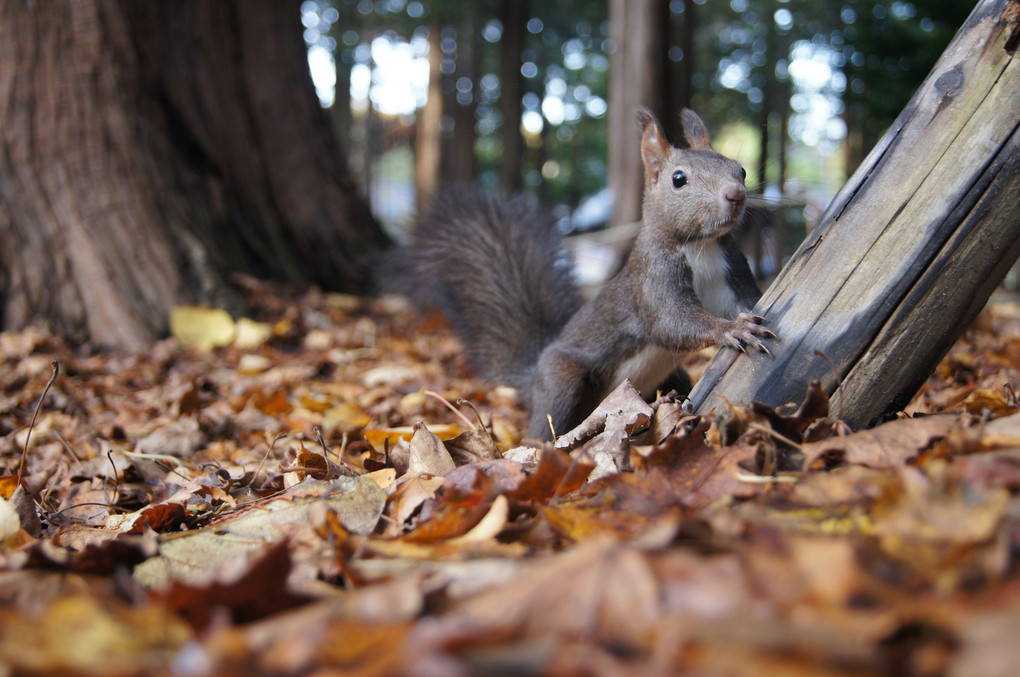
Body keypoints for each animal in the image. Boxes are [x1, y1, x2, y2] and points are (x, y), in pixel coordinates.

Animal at [399, 108, 771, 442]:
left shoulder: (731, 272)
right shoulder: (652, 275)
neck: (702, 249)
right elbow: (671, 322)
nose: (736, 195)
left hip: (671, 378)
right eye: (678, 179)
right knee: (543, 428)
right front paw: (729, 329)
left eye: (740, 169)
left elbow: (748, 301)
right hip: (563, 381)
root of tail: (533, 378)